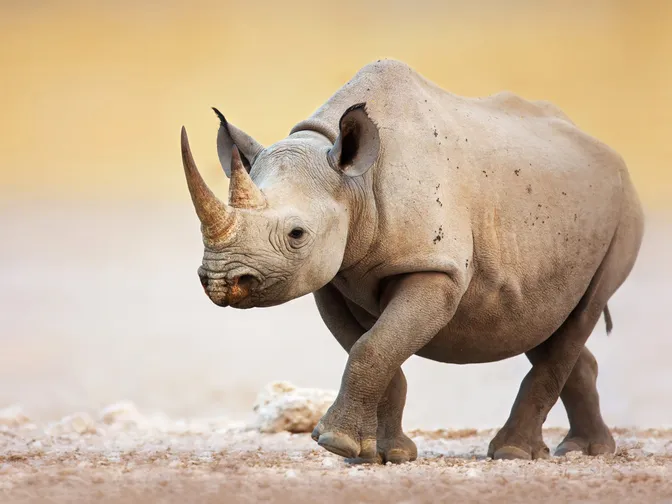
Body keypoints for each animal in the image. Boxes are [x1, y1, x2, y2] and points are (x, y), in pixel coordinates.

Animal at [180, 59, 644, 463]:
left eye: (297, 235)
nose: (221, 280)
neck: (354, 182)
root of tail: (606, 150)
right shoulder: (333, 277)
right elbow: (375, 348)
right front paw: (381, 454)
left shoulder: (436, 267)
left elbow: (373, 346)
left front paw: (335, 443)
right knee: (543, 321)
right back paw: (585, 450)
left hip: (623, 209)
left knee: (581, 313)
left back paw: (515, 453)